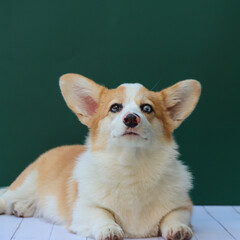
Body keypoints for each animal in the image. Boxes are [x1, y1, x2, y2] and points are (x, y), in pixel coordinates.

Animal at [0, 73, 201, 240]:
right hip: (24, 186)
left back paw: (22, 208)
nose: (131, 118)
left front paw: (178, 228)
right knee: (6, 198)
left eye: (147, 108)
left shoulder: (183, 206)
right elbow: (102, 214)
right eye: (115, 108)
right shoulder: (83, 209)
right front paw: (109, 229)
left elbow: (173, 216)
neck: (131, 164)